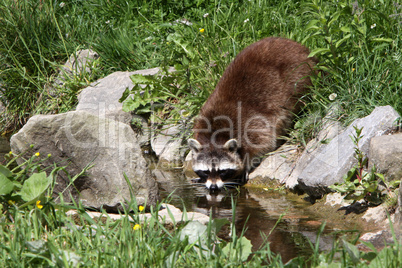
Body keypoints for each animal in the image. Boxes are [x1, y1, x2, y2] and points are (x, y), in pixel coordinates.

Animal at [188, 37, 318, 191]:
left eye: (222, 171)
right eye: (206, 172)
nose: (213, 188)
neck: (215, 134)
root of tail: (300, 48)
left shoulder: (253, 125)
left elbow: (265, 142)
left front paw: (246, 166)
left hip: (300, 76)